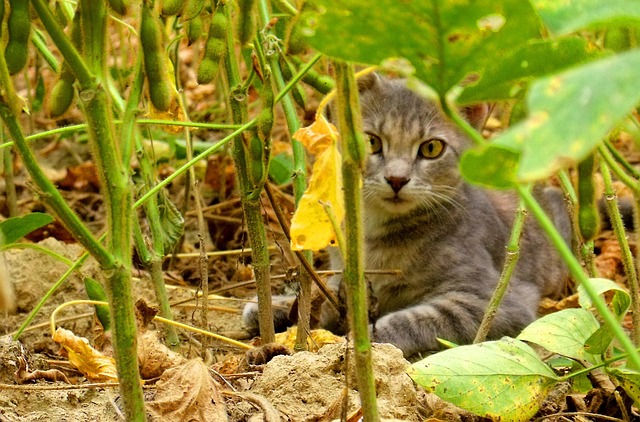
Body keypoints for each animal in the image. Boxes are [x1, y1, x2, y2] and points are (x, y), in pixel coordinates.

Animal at [244, 73, 568, 356]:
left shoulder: (499, 302)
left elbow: (422, 318)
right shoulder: (344, 275)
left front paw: (368, 336)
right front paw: (280, 307)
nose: (396, 179)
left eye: (432, 148)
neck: (375, 233)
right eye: (372, 142)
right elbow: (326, 293)